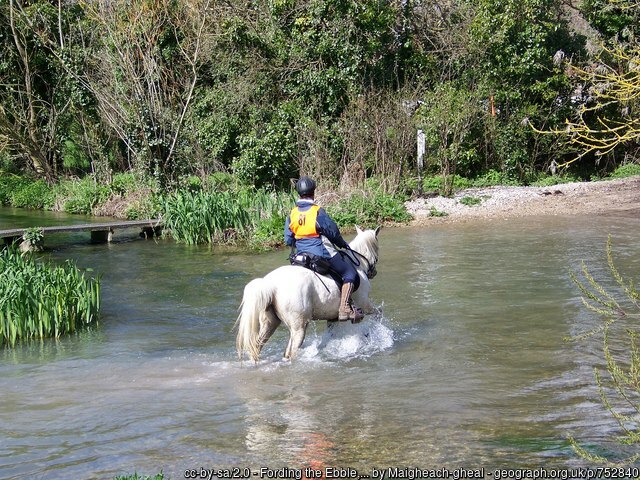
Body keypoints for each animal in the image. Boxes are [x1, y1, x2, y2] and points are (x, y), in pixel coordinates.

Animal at [238, 227, 382, 362]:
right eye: (377, 249)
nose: (374, 273)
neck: (357, 265)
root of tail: (270, 285)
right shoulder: (364, 303)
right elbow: (378, 313)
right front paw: (376, 333)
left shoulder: (333, 318)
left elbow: (330, 337)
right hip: (299, 327)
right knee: (292, 353)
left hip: (270, 324)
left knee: (258, 347)